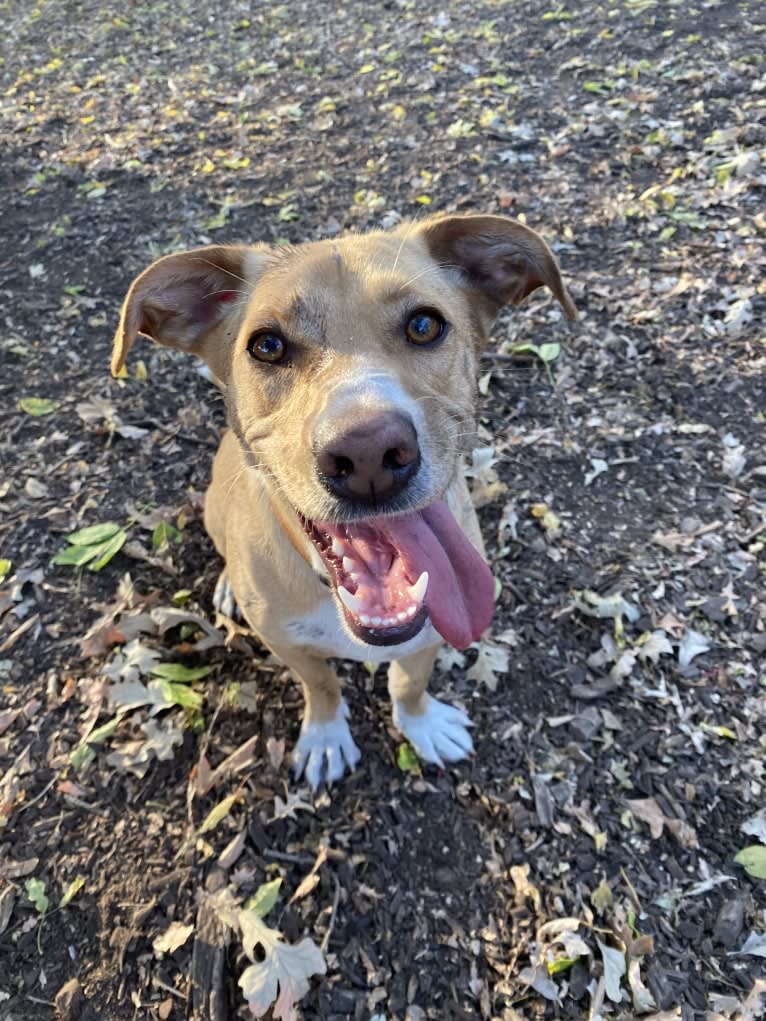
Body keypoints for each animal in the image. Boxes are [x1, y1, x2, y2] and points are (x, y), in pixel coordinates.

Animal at [113, 213, 576, 788]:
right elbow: (322, 685)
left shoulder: (433, 629)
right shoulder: (288, 644)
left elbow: (409, 683)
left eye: (424, 326)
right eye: (267, 346)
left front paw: (421, 724)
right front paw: (327, 735)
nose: (369, 452)